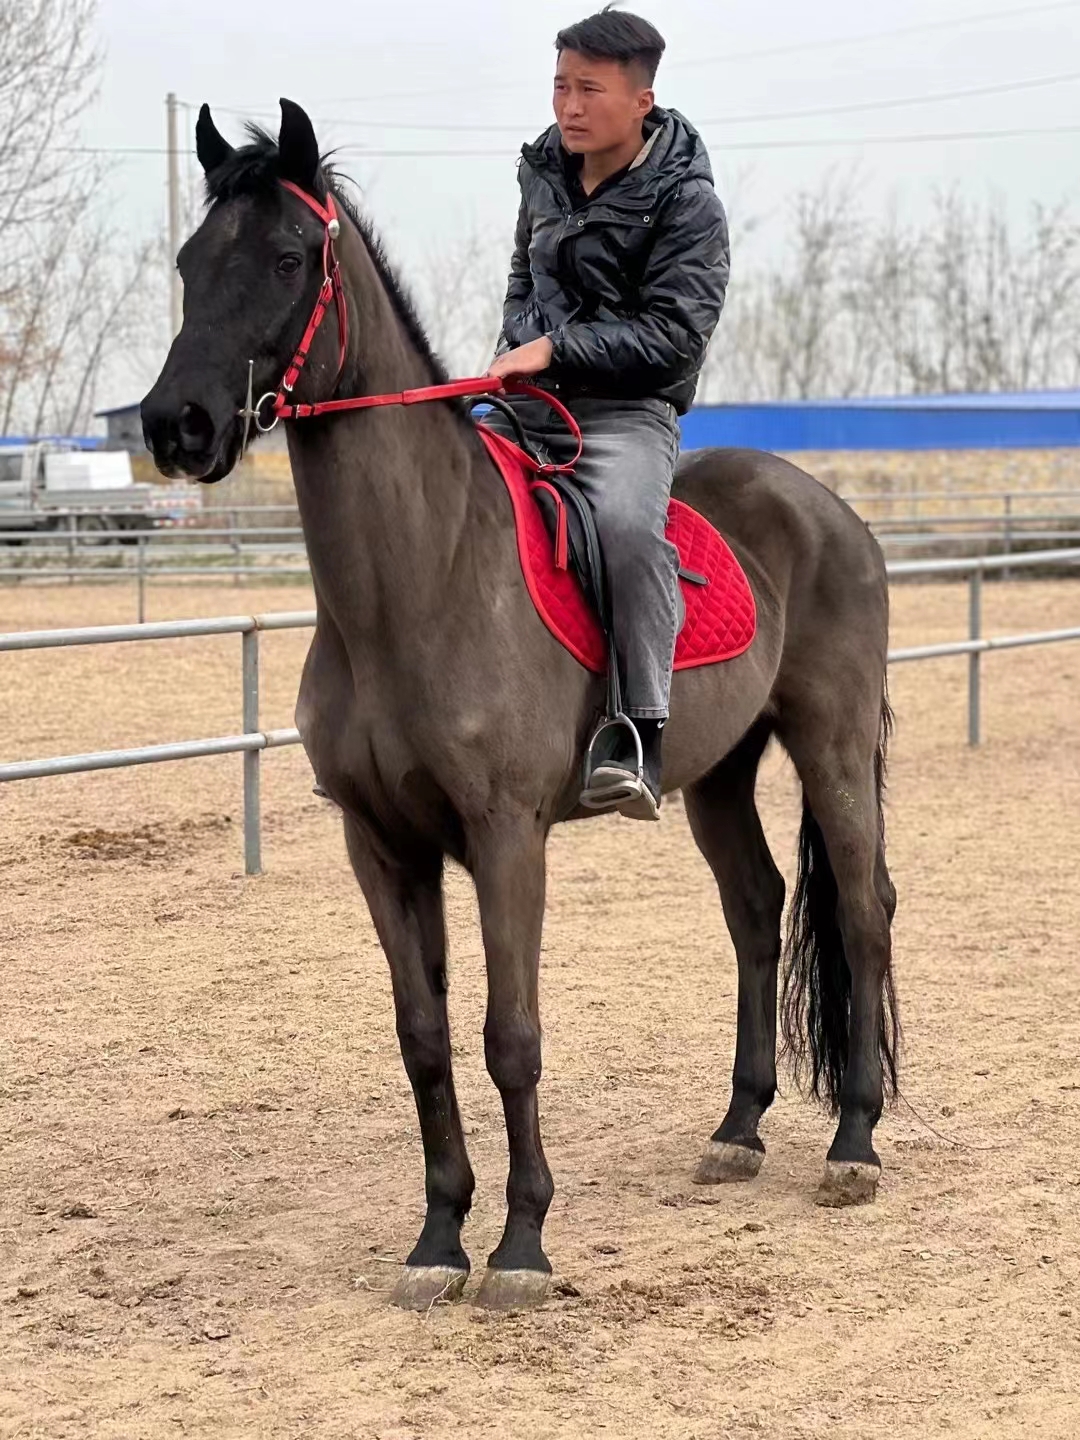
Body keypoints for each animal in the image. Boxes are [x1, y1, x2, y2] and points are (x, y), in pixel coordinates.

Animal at [146, 98, 904, 1319]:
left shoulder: (508, 840)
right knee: (754, 910)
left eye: (286, 258)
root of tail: (829, 507)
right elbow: (423, 1037)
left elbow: (511, 1036)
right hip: (719, 775)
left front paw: (521, 1245)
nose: (178, 425)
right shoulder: (381, 845)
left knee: (865, 912)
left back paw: (855, 1145)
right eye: (187, 261)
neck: (416, 582)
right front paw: (436, 1241)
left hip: (830, 748)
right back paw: (738, 1131)